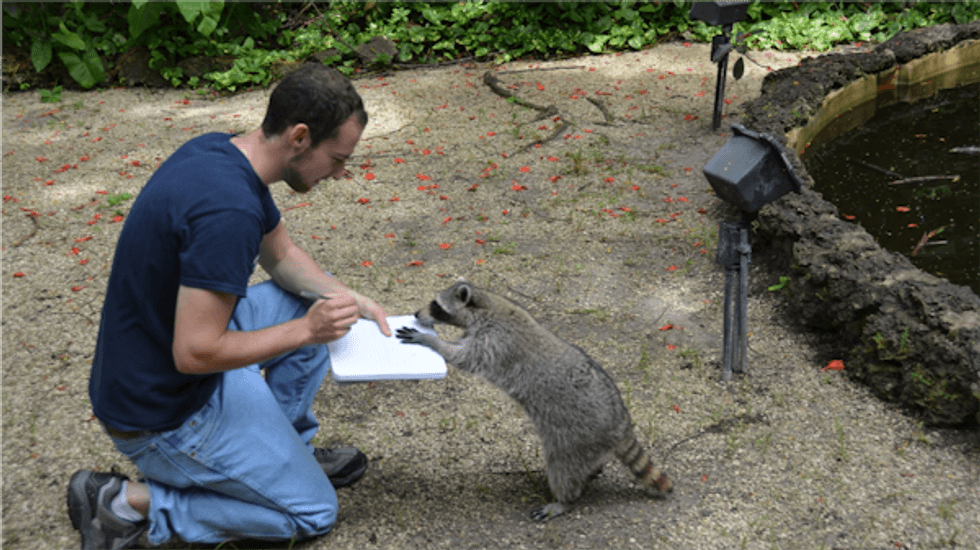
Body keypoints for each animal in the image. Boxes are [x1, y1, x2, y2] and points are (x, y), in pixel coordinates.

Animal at [396, 281, 672, 521]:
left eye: (435, 305)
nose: (416, 313)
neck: (486, 305)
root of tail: (621, 423)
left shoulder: (496, 341)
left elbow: (463, 357)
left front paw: (431, 341)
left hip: (576, 437)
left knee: (563, 468)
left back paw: (565, 500)